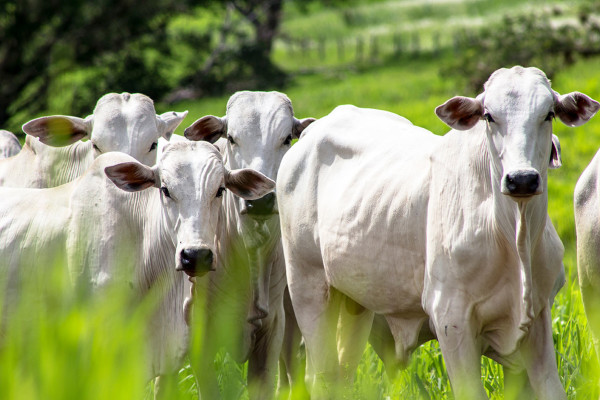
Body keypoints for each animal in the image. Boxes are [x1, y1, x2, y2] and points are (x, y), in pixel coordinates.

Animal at [276, 67, 596, 398]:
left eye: (548, 114)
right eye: (489, 116)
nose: (521, 179)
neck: (512, 235)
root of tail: (312, 132)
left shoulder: (538, 316)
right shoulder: (451, 319)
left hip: (354, 300)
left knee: (342, 373)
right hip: (308, 285)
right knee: (321, 375)